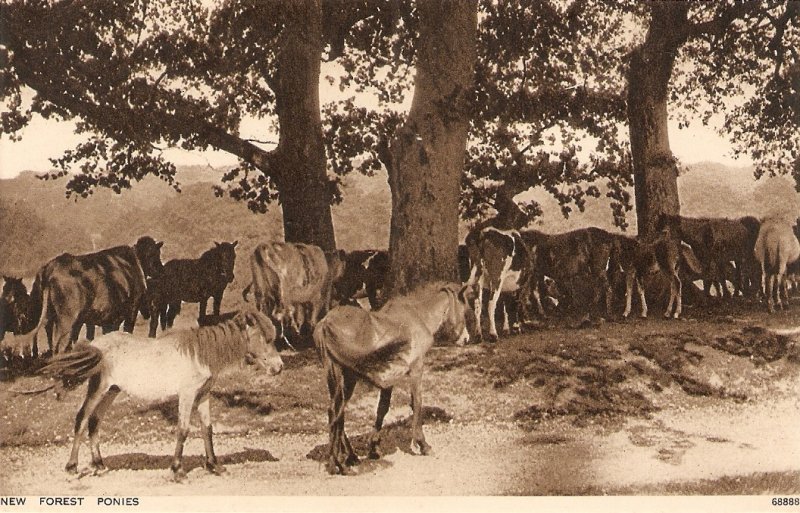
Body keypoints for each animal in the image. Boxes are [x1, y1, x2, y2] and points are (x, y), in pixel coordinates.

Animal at [41, 308, 284, 480]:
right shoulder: (187, 394)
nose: (279, 367)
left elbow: (207, 429)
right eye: (264, 338)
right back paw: (72, 467)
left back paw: (100, 465)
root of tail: (96, 345)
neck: (200, 354)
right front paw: (177, 471)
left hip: (112, 391)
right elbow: (183, 430)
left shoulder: (203, 395)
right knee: (82, 419)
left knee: (94, 421)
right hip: (98, 388)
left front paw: (215, 466)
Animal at [312, 282, 476, 474]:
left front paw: (374, 448)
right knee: (336, 411)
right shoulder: (416, 370)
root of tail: (325, 324)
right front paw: (423, 444)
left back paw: (348, 458)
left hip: (341, 378)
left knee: (337, 411)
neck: (417, 318)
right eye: (464, 310)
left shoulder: (388, 381)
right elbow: (417, 404)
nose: (466, 339)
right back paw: (337, 463)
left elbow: (382, 409)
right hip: (346, 378)